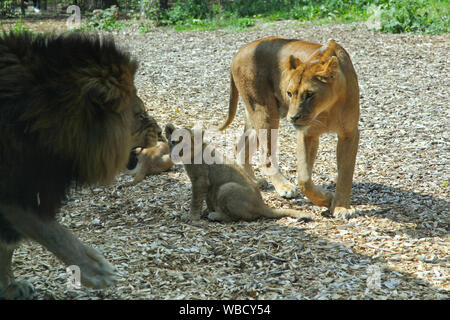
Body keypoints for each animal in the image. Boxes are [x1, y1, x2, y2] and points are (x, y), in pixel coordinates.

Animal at [0, 31, 162, 298]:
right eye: (139, 115)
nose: (160, 132)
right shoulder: (18, 185)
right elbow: (50, 230)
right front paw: (97, 270)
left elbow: (8, 247)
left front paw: (10, 287)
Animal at [220, 36, 360, 219]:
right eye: (290, 93)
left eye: (309, 94)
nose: (292, 117)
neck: (328, 107)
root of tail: (240, 51)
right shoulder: (306, 133)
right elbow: (304, 179)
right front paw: (326, 199)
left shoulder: (349, 134)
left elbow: (345, 173)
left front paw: (341, 206)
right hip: (264, 111)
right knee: (265, 154)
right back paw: (284, 187)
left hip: (256, 115)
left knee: (241, 146)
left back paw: (253, 181)